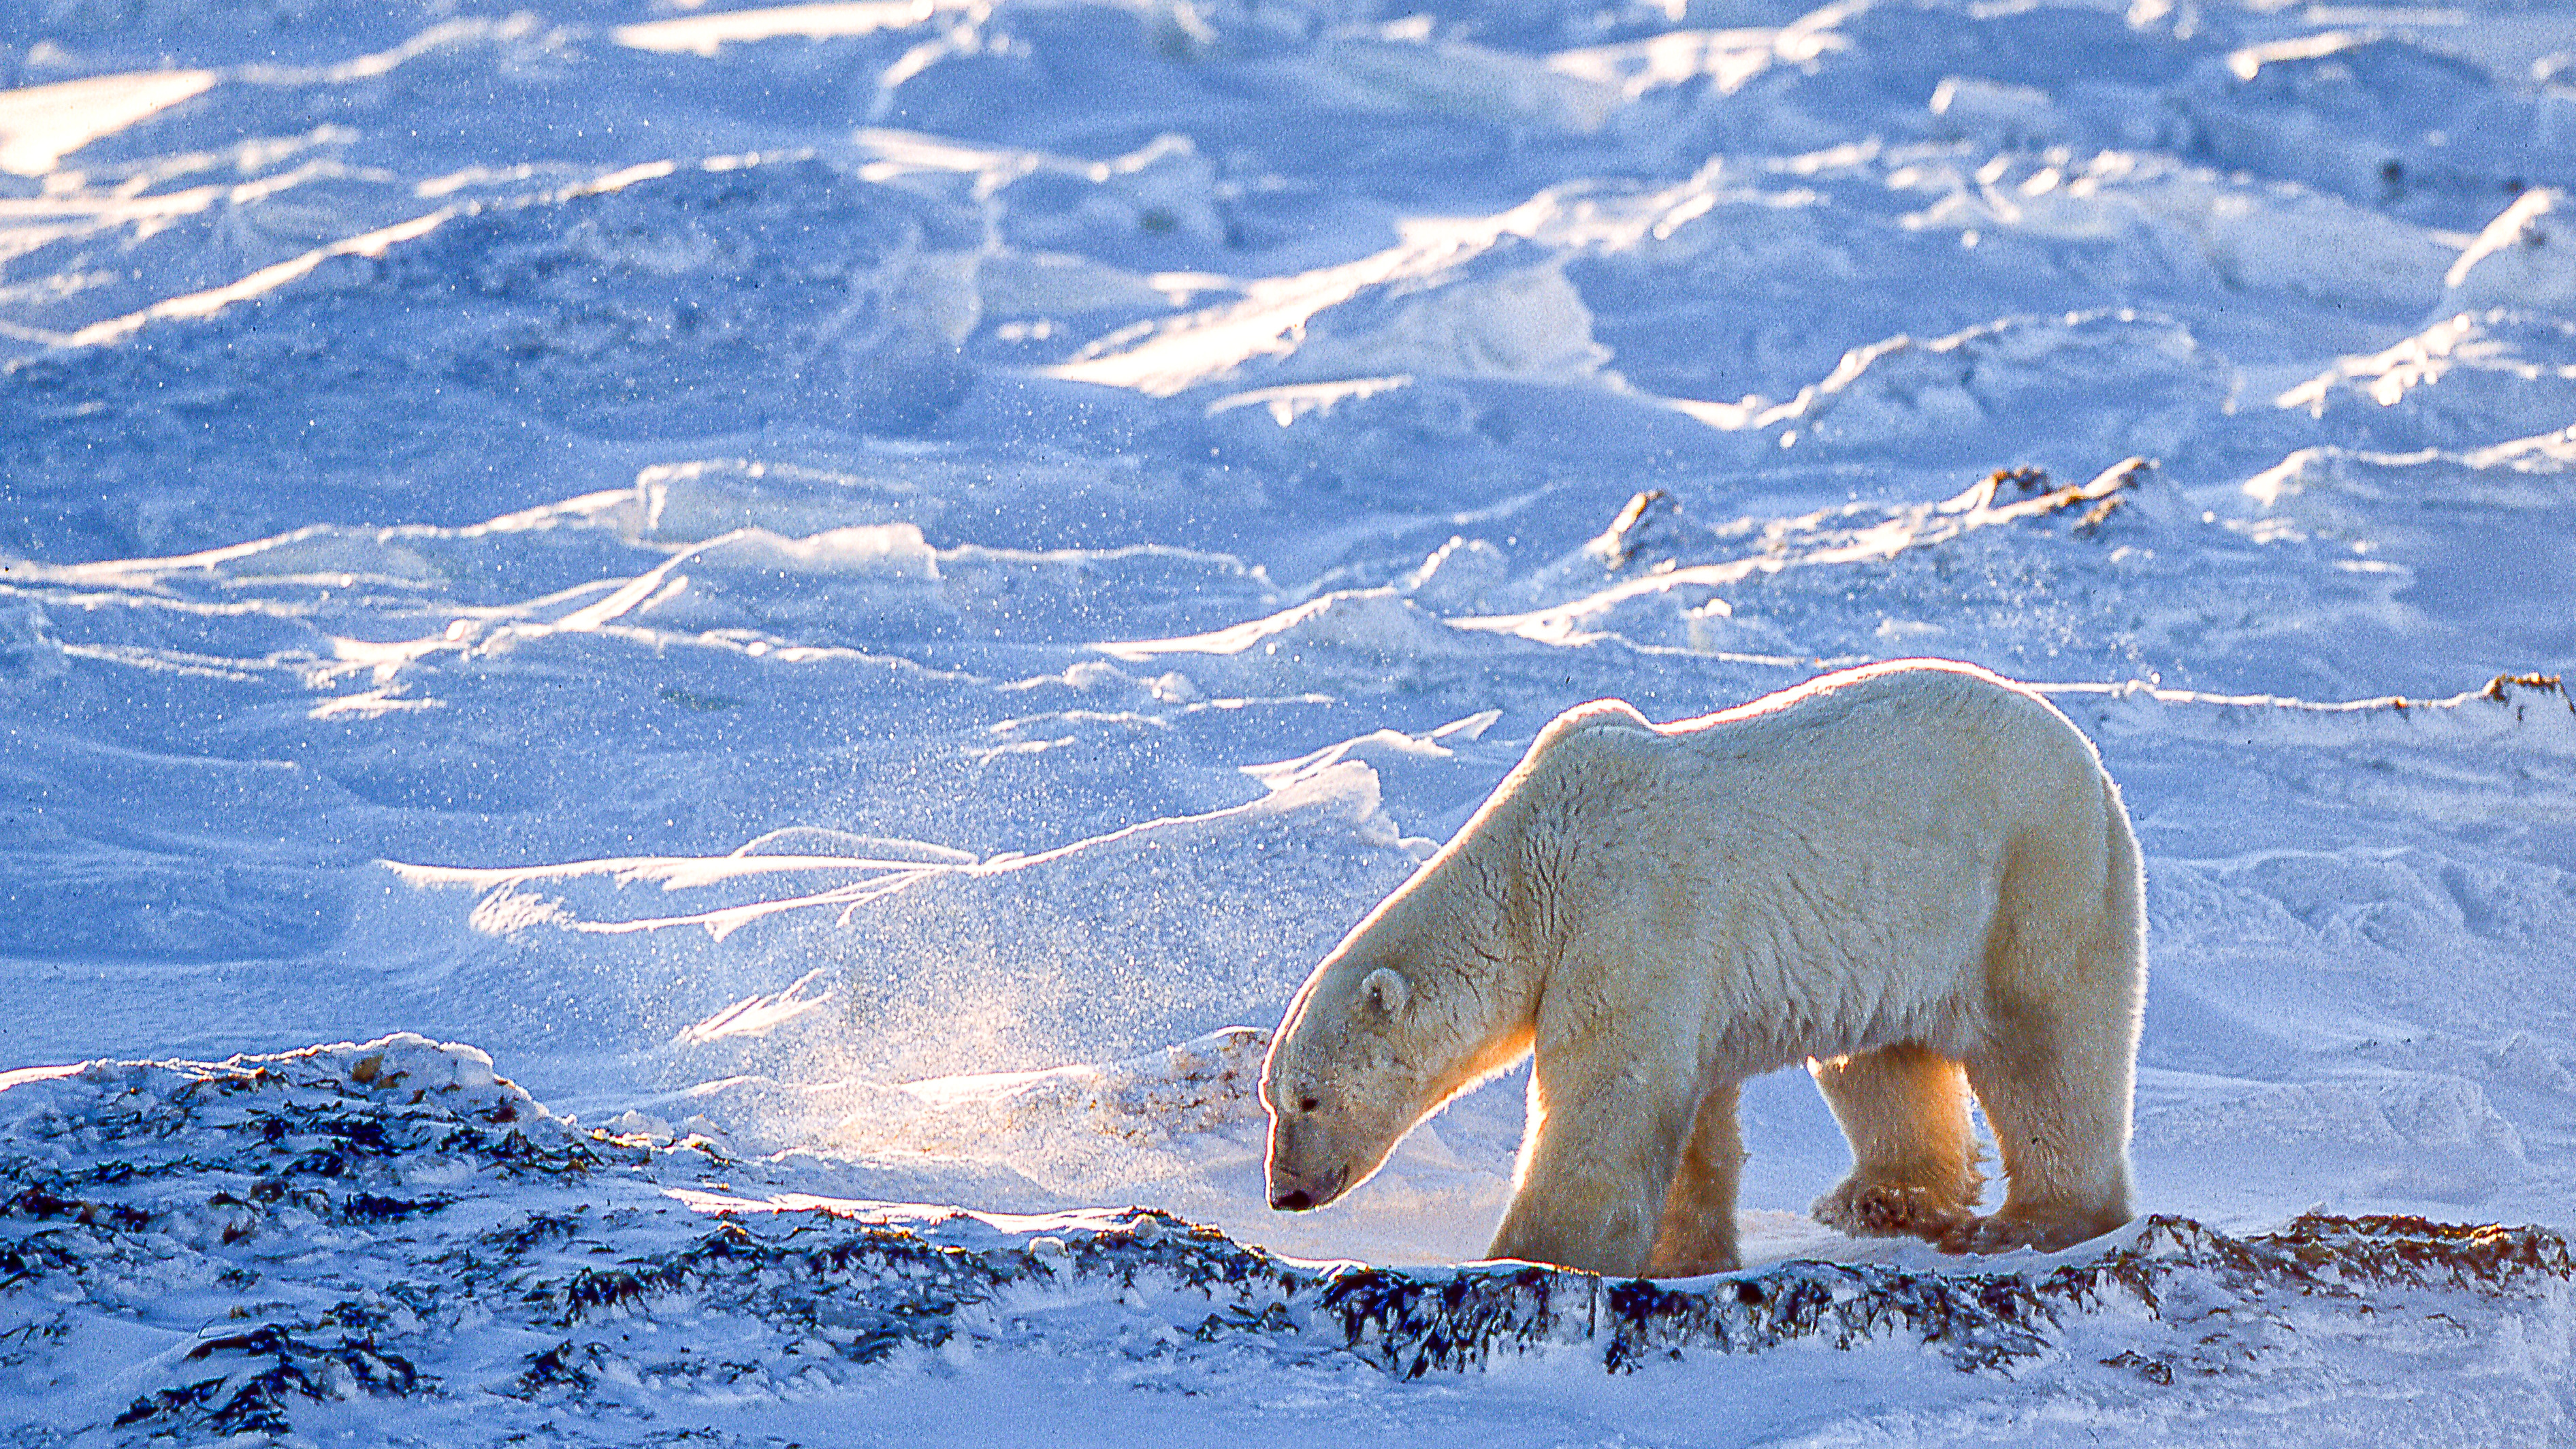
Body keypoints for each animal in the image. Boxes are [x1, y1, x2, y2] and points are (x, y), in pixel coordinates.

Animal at [1261, 658, 2146, 1278]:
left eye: (1309, 1098)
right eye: (1273, 1098)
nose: (1284, 1193)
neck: (1532, 869)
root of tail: (2095, 766)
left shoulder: (1629, 914)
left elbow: (1608, 1097)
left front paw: (1528, 1254)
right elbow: (1690, 1118)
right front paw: (1682, 1256)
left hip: (2032, 881)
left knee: (2046, 1053)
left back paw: (2036, 1218)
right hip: (1904, 927)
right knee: (1882, 1060)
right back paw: (1882, 1197)